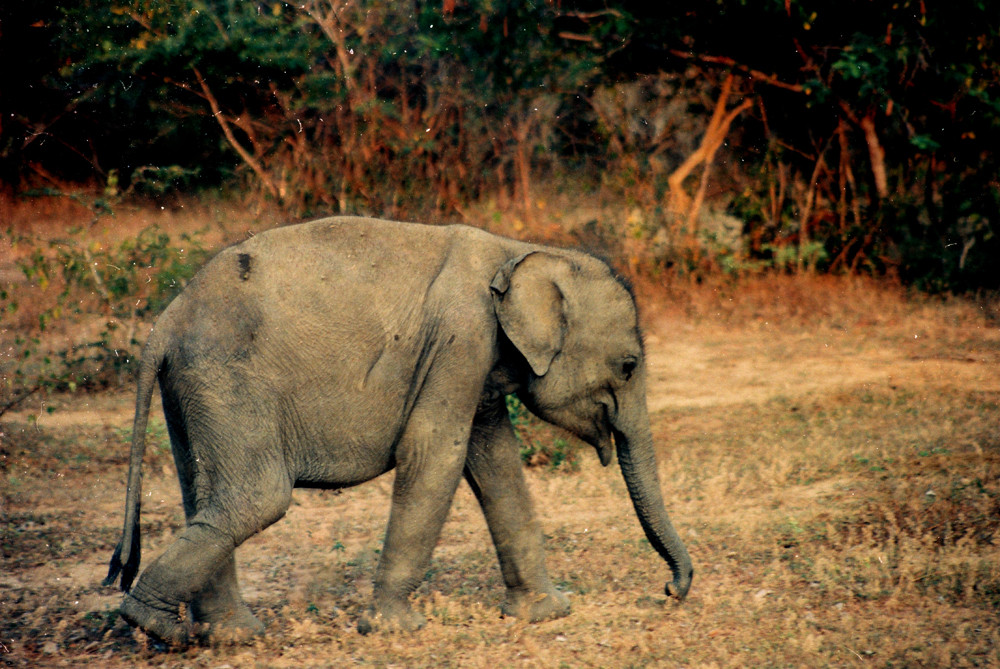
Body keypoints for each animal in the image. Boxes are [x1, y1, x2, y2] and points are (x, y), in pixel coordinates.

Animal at [103, 215, 696, 640]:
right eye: (629, 366)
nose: (671, 590)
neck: (519, 249)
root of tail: (165, 321)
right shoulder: (461, 339)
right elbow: (435, 454)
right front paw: (395, 629)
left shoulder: (476, 364)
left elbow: (495, 461)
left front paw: (547, 615)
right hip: (226, 378)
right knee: (256, 498)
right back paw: (156, 627)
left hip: (193, 388)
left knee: (207, 496)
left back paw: (231, 636)